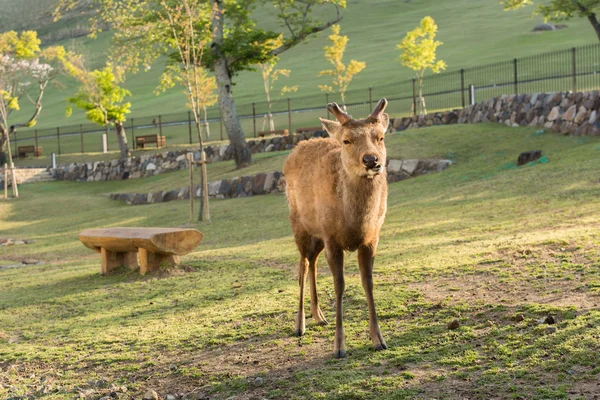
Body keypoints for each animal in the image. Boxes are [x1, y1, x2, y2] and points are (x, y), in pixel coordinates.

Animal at [284, 98, 392, 358]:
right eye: (347, 140)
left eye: (380, 137)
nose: (371, 160)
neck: (355, 222)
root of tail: (299, 145)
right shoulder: (332, 238)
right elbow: (339, 285)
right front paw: (339, 346)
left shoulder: (371, 238)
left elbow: (368, 282)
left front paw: (379, 340)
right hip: (299, 225)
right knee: (302, 266)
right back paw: (300, 325)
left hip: (318, 235)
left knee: (312, 262)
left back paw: (319, 316)